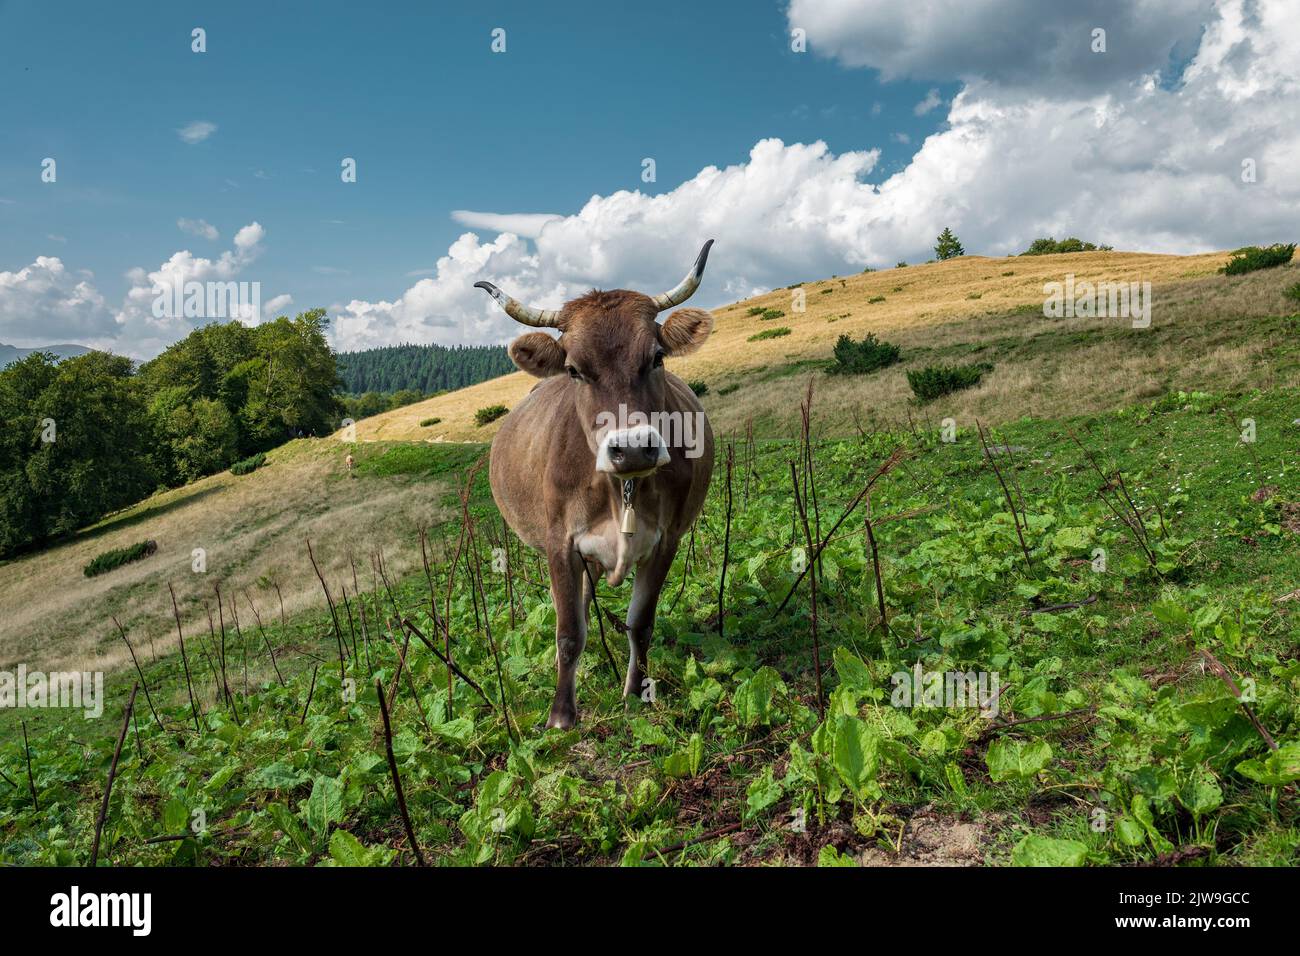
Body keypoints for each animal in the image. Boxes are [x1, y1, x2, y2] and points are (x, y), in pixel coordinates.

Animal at [475, 241, 716, 729]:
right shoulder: (560, 543)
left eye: (656, 357)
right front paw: (561, 716)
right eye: (573, 370)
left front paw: (636, 694)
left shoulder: (666, 541)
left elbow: (641, 624)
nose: (634, 449)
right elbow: (569, 632)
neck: (621, 491)